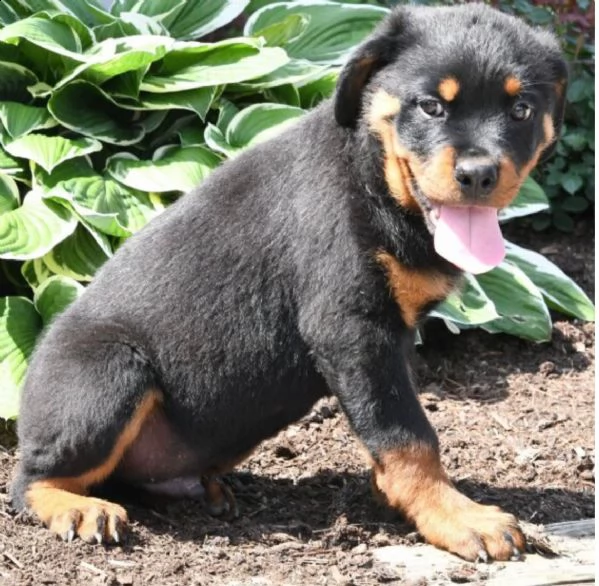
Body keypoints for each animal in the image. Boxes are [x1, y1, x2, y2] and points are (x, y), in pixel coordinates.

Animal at [12, 4, 568, 560]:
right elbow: (407, 432)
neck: (374, 178)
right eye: (431, 106)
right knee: (30, 482)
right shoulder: (351, 327)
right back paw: (78, 507)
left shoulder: (391, 337)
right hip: (109, 374)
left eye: (521, 111)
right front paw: (455, 515)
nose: (478, 175)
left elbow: (392, 415)